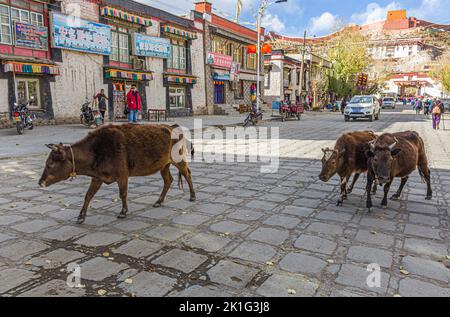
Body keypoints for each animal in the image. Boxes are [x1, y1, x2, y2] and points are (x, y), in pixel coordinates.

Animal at [40, 122, 197, 223]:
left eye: (50, 164)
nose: (40, 182)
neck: (96, 150)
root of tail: (173, 127)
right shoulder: (97, 177)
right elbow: (88, 196)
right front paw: (81, 216)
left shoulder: (122, 175)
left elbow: (123, 194)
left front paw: (123, 212)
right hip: (163, 165)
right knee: (168, 180)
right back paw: (159, 201)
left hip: (179, 161)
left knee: (187, 174)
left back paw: (192, 196)